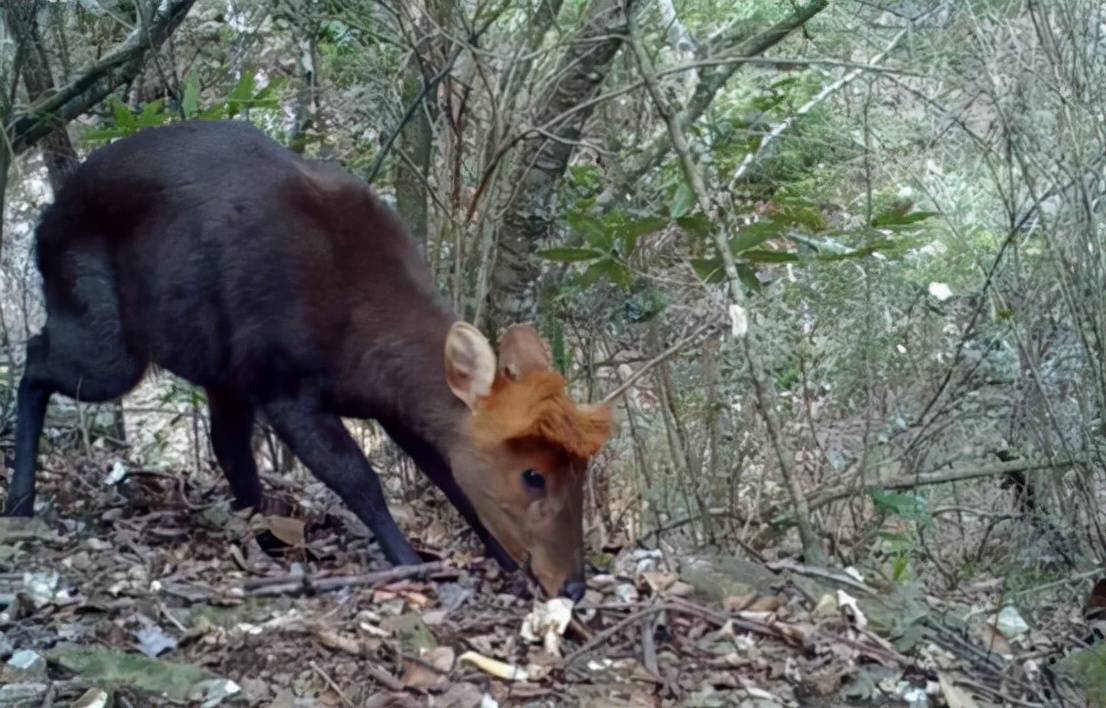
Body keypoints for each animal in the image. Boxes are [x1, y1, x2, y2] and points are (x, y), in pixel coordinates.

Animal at [4, 118, 614, 601]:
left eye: (579, 472)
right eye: (533, 475)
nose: (573, 585)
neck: (361, 332)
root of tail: (43, 224)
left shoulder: (387, 405)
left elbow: (448, 477)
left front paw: (502, 559)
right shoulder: (284, 384)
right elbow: (359, 478)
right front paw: (408, 561)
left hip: (217, 367)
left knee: (228, 447)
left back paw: (260, 534)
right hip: (108, 338)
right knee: (34, 359)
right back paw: (21, 500)